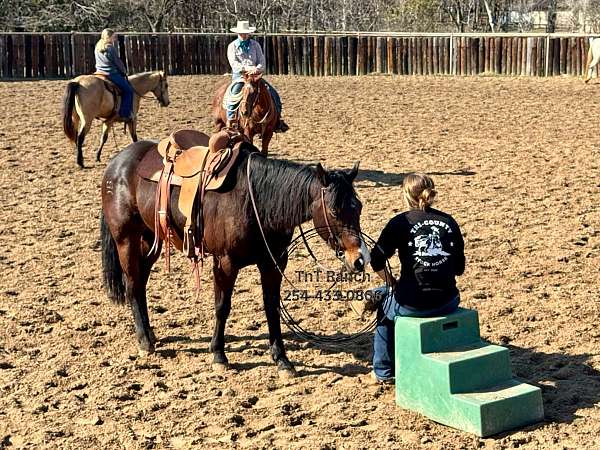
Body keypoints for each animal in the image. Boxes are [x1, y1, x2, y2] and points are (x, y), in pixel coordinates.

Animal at [99, 132, 366, 378]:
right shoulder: (225, 262)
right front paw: (219, 355)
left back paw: (149, 333)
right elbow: (222, 306)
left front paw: (282, 359)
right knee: (132, 283)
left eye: (359, 206)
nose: (359, 259)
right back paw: (145, 341)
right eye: (334, 210)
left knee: (141, 282)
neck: (254, 200)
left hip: (150, 238)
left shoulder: (274, 263)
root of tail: (117, 163)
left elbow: (272, 307)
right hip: (126, 239)